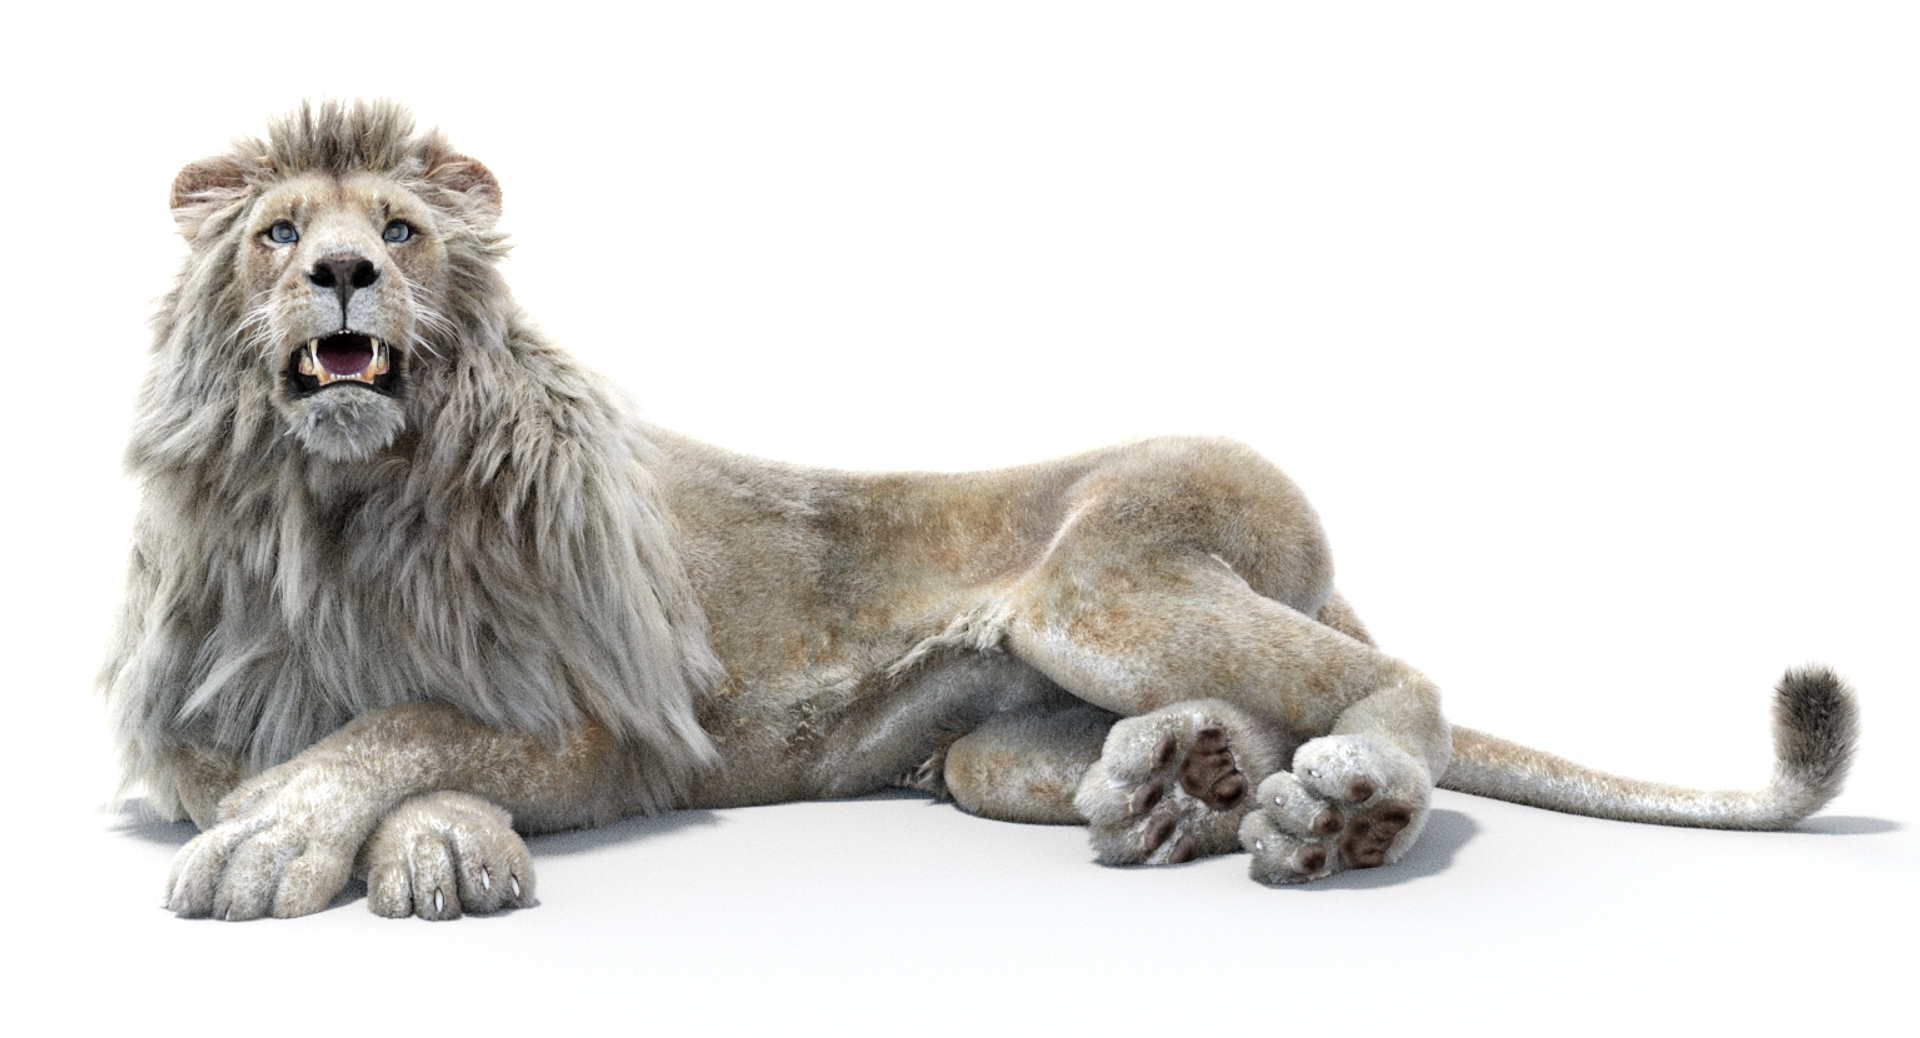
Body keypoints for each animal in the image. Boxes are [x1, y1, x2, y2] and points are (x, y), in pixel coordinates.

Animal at [104, 100, 1859, 920]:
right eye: (277, 233)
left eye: (399, 228)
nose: (344, 270)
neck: (331, 510)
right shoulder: (194, 718)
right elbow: (315, 751)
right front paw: (390, 842)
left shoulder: (619, 731)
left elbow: (406, 725)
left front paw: (323, 839)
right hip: (989, 742)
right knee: (1170, 734)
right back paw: (1181, 785)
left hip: (1112, 580)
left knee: (1405, 681)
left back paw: (1340, 804)